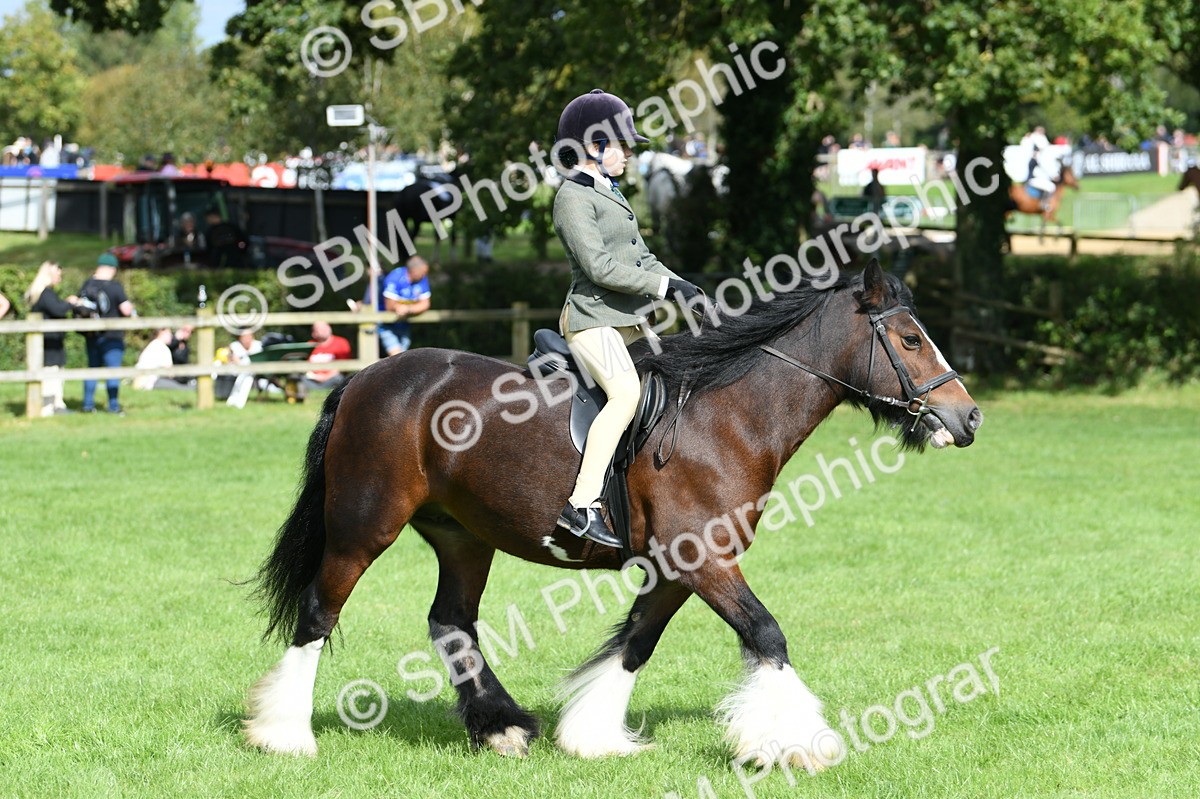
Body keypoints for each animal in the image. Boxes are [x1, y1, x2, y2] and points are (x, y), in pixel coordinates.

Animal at [241, 258, 983, 768]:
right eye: (910, 341)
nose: (968, 416)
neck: (727, 416)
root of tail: (366, 378)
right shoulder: (705, 559)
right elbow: (767, 635)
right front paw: (800, 743)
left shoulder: (680, 566)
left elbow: (635, 644)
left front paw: (592, 734)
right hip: (364, 527)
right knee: (319, 612)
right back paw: (286, 734)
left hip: (463, 536)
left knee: (451, 622)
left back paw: (502, 727)